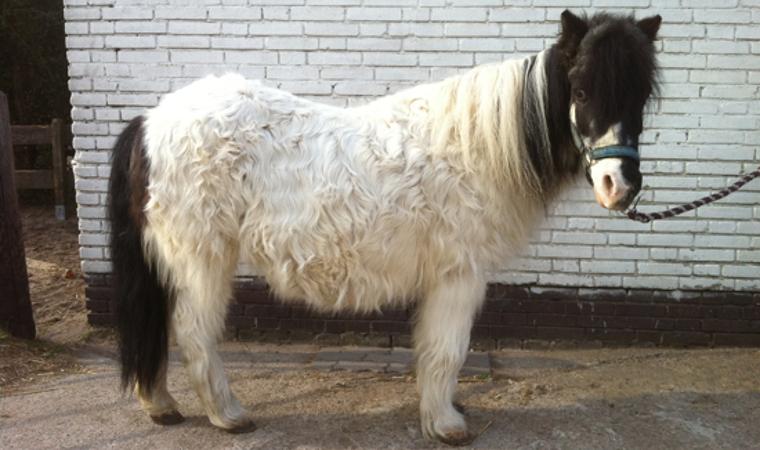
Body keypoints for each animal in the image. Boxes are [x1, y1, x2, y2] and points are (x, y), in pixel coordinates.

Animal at [108, 10, 661, 445]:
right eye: (582, 89)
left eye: (640, 99)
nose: (620, 185)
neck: (479, 148)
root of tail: (151, 122)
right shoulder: (459, 275)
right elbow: (447, 350)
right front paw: (445, 424)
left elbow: (434, 350)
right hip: (203, 257)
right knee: (193, 331)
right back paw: (227, 415)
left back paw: (160, 404)